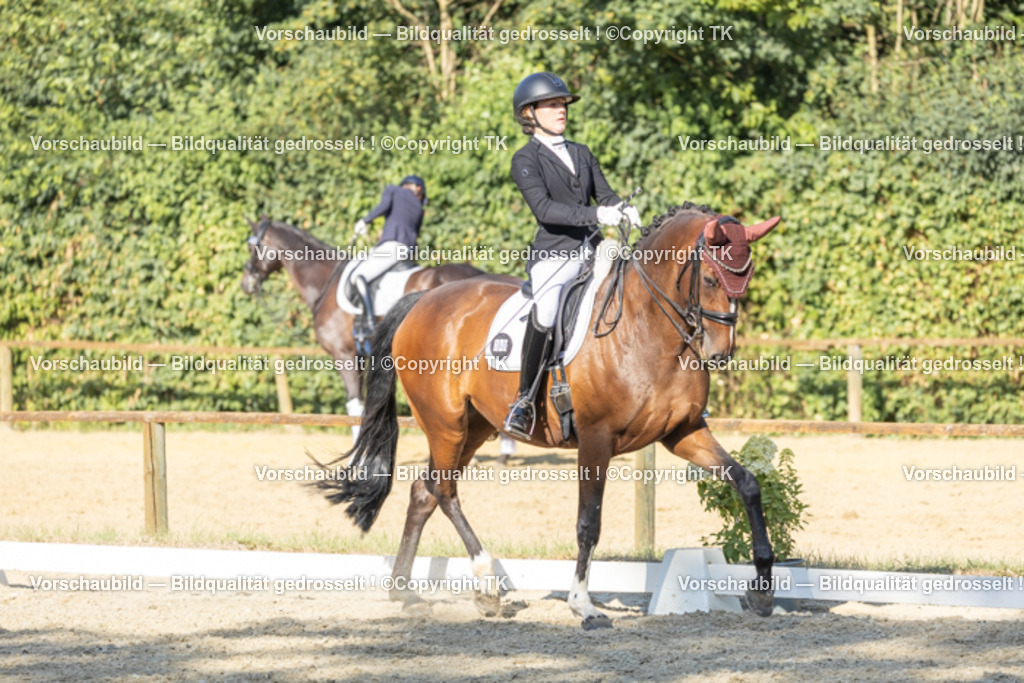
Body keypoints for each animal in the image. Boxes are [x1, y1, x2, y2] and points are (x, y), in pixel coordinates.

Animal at [240, 215, 518, 457]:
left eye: (253, 247)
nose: (246, 284)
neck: (326, 283)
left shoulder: (345, 356)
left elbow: (355, 406)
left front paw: (356, 457)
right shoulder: (361, 358)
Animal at [313, 203, 781, 628]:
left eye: (746, 278)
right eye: (710, 278)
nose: (720, 354)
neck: (647, 327)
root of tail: (423, 300)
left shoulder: (683, 432)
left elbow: (747, 483)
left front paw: (762, 590)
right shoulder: (596, 439)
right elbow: (588, 522)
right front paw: (583, 606)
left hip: (474, 427)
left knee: (424, 492)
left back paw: (405, 593)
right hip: (445, 423)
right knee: (443, 492)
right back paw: (486, 585)